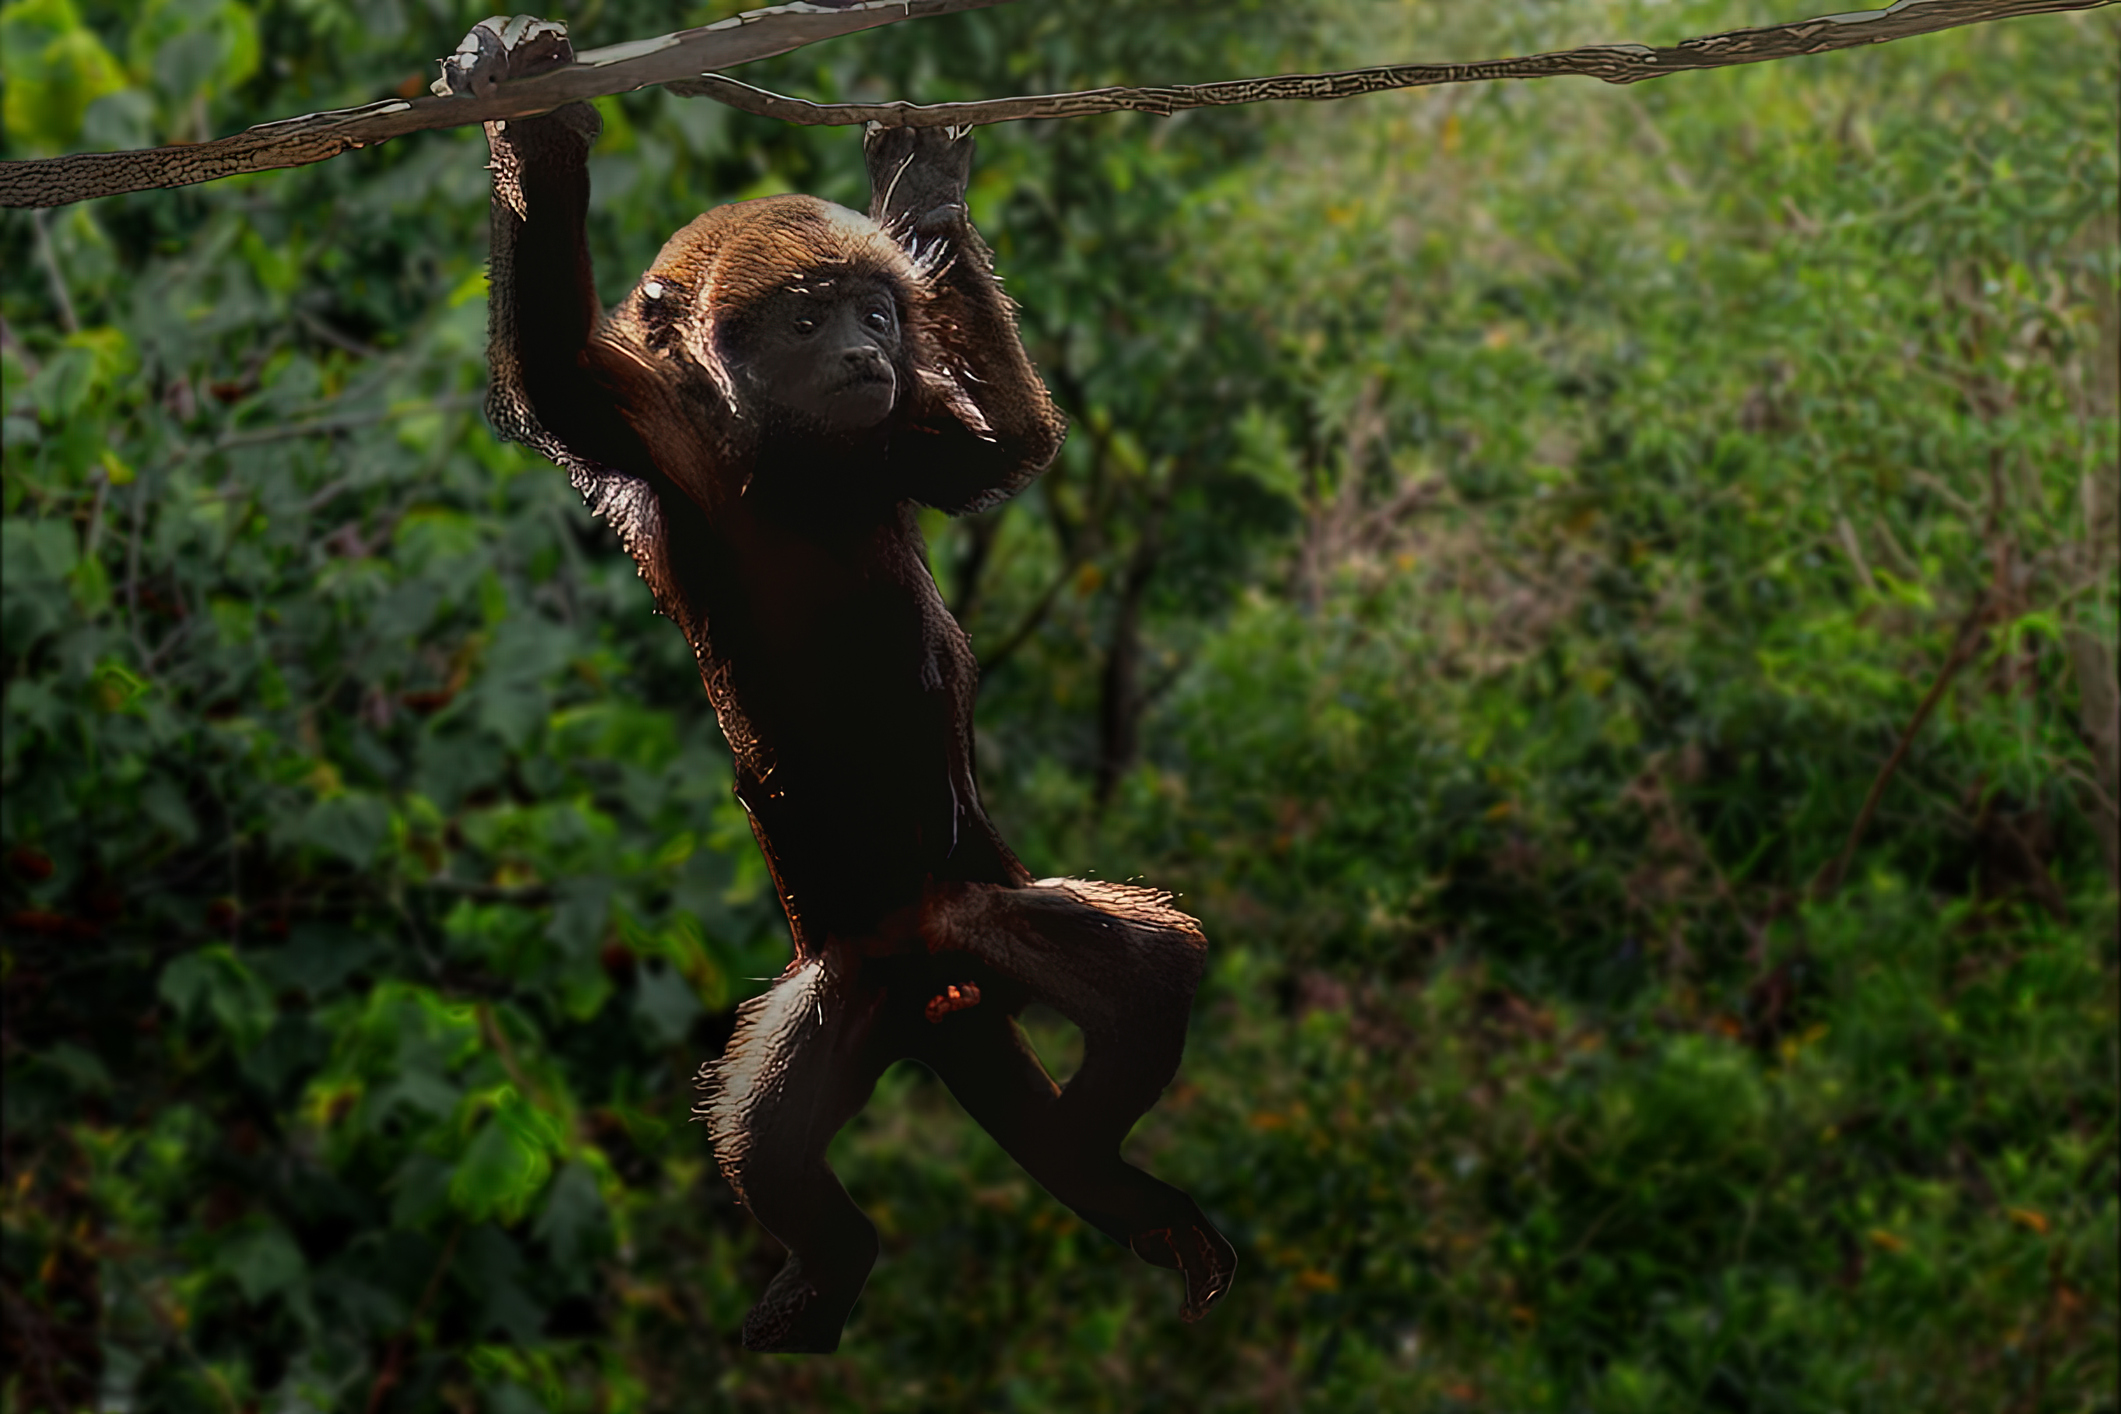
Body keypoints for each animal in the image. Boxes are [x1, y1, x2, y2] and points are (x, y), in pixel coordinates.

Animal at [451, 16, 1238, 1356]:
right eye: (811, 318)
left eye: (873, 309)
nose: (872, 344)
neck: (799, 463)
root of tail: (932, 983)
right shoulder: (656, 434)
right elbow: (554, 363)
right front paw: (533, 122)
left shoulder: (901, 433)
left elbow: (1006, 451)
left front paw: (925, 201)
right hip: (845, 979)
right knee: (765, 1137)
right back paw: (834, 1259)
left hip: (974, 903)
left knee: (1145, 971)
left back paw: (1090, 1159)